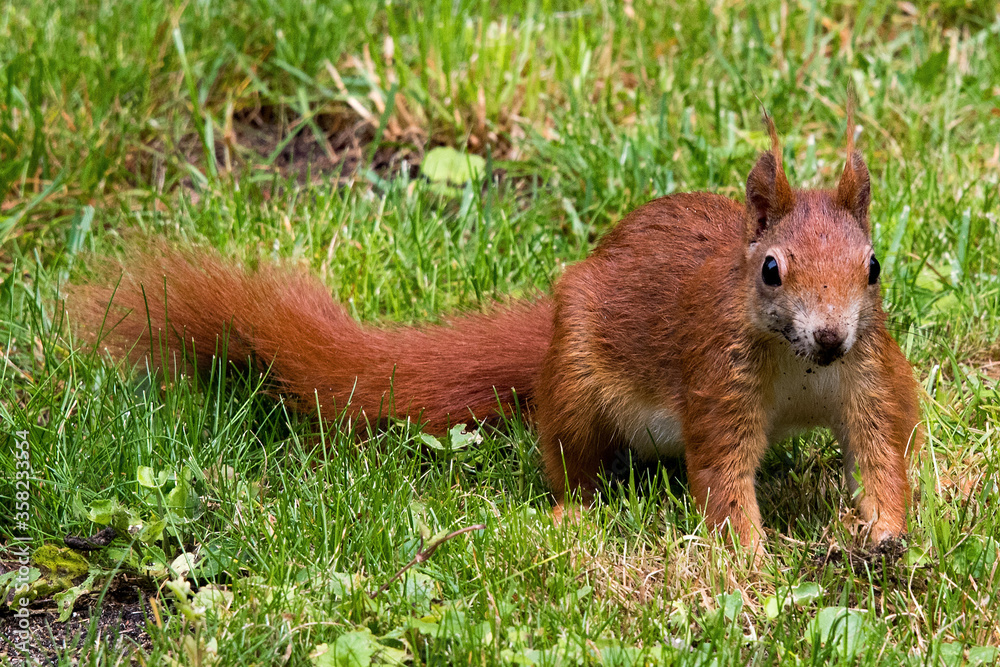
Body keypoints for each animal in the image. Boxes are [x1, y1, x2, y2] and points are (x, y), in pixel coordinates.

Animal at [72, 116, 920, 552]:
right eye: (772, 270)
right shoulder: (719, 380)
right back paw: (576, 508)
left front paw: (882, 531)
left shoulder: (869, 377)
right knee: (567, 453)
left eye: (873, 265)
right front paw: (753, 563)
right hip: (575, 377)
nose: (831, 337)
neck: (800, 371)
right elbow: (721, 475)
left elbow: (882, 451)